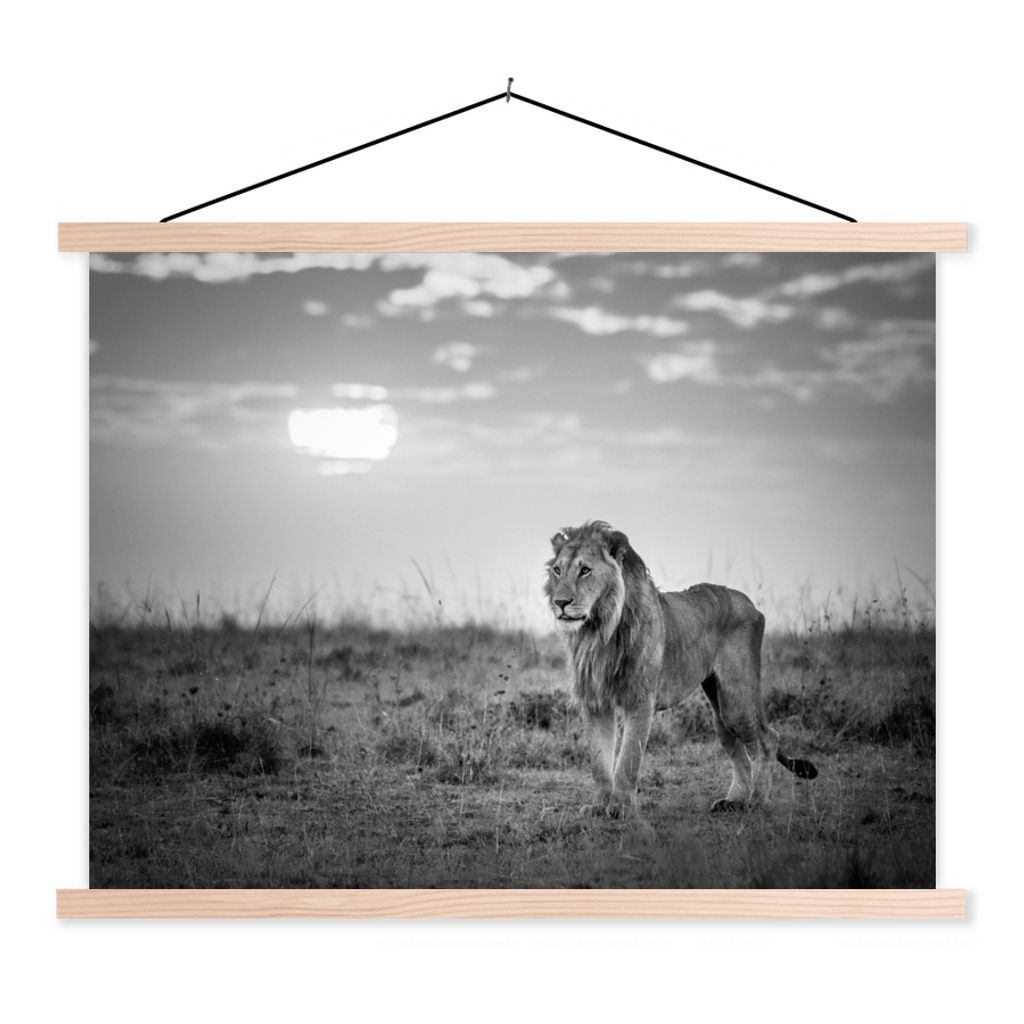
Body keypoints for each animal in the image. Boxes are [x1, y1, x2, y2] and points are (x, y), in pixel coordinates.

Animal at [545, 520, 817, 817]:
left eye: (585, 570)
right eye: (558, 570)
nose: (560, 603)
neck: (599, 630)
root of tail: (749, 603)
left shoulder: (641, 700)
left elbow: (628, 759)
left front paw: (622, 808)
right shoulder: (596, 701)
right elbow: (599, 761)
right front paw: (600, 806)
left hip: (737, 701)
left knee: (768, 740)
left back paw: (757, 802)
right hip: (718, 710)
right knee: (739, 752)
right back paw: (733, 801)